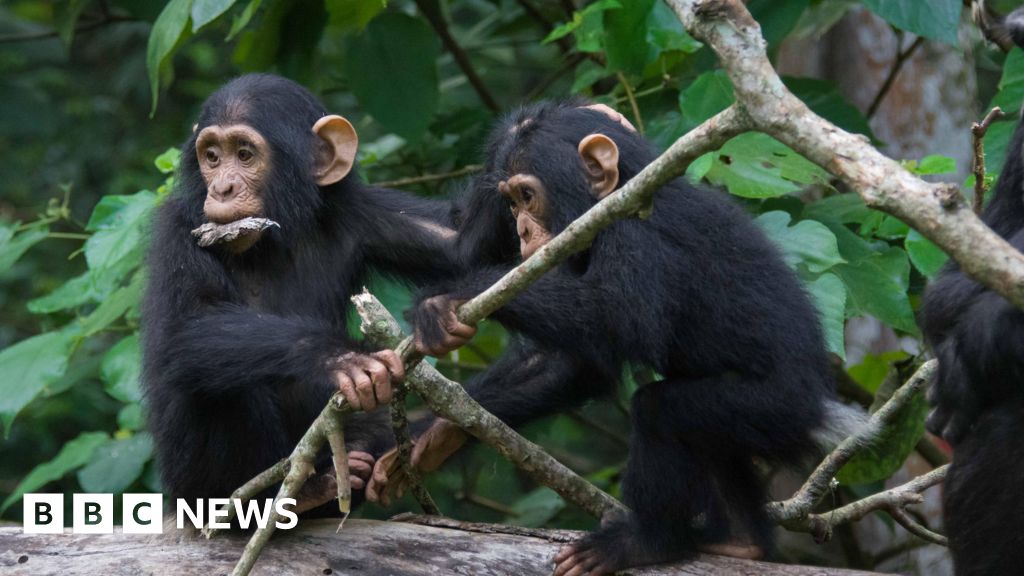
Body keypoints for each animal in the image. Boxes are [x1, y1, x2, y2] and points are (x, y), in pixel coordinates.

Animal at [143, 73, 460, 512]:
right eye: (212, 156)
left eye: (244, 154)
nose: (221, 188)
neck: (276, 238)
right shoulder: (177, 230)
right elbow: (181, 329)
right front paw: (336, 356)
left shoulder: (364, 212)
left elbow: (465, 242)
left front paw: (440, 307)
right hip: (191, 487)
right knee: (213, 377)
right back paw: (299, 493)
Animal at [372, 100, 860, 569]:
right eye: (509, 204)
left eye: (527, 196)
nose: (522, 230)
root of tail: (820, 402)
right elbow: (578, 361)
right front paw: (434, 435)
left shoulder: (633, 232)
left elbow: (616, 318)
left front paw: (449, 297)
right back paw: (741, 543)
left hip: (770, 408)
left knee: (660, 412)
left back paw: (645, 542)